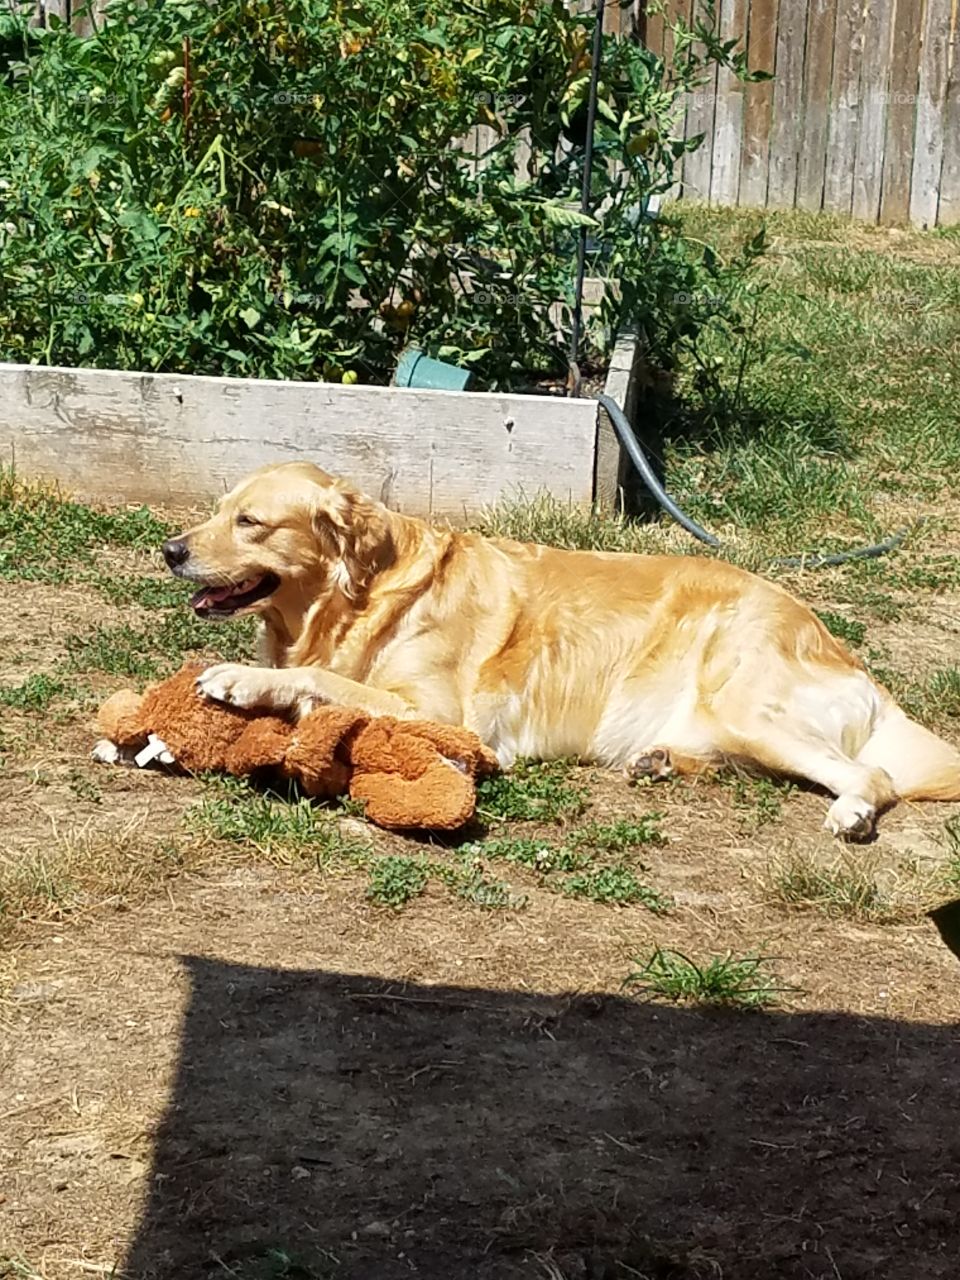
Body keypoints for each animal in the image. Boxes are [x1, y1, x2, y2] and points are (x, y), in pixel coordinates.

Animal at [163, 463, 960, 839]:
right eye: (216, 509)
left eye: (250, 522)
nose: (170, 550)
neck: (366, 594)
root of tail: (852, 661)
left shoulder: (443, 714)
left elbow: (322, 683)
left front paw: (242, 679)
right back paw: (658, 761)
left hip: (749, 706)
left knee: (875, 775)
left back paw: (851, 813)